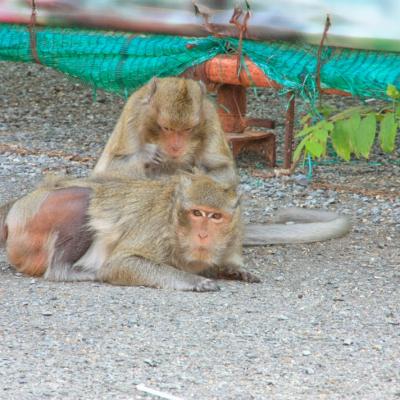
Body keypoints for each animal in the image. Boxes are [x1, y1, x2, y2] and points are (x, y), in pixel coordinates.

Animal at [0, 173, 260, 290]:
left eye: (215, 216)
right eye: (197, 213)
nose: (203, 235)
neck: (175, 221)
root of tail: (15, 206)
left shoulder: (234, 236)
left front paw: (232, 271)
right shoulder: (157, 227)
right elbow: (121, 263)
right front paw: (196, 280)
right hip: (35, 218)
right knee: (85, 197)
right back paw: (66, 271)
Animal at [94, 77, 238, 188]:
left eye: (188, 129)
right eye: (167, 128)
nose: (176, 147)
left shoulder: (211, 122)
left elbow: (225, 172)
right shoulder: (133, 119)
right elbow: (111, 168)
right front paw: (146, 154)